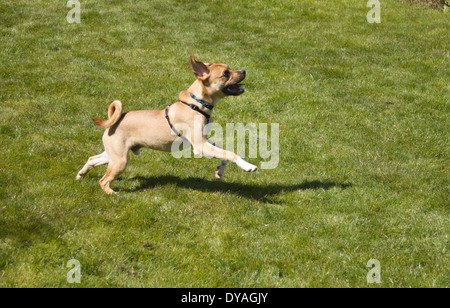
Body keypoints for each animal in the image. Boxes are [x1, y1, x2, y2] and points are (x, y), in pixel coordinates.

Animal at [77, 54, 256, 195]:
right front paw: (248, 166)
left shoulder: (205, 141)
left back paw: (80, 174)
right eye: (226, 73)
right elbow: (230, 154)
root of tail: (115, 120)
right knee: (103, 180)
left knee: (92, 159)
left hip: (114, 155)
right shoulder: (200, 146)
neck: (195, 104)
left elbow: (224, 152)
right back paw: (112, 193)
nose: (243, 71)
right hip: (120, 161)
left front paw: (220, 171)